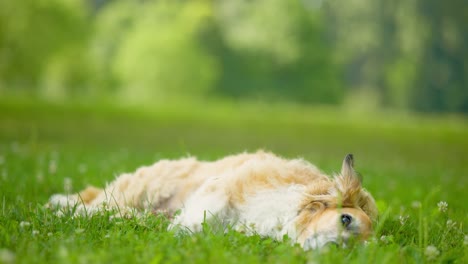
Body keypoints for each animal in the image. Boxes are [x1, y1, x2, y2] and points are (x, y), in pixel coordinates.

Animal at [48, 151, 376, 250]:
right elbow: (202, 214)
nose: (335, 250)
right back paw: (61, 206)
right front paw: (183, 232)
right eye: (345, 219)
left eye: (358, 251)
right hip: (144, 188)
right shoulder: (226, 187)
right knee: (93, 203)